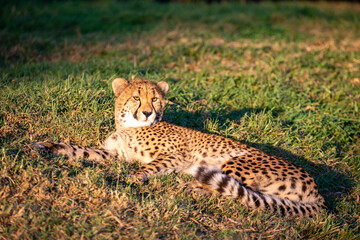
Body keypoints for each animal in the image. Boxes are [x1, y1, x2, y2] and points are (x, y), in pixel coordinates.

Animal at [34, 78, 326, 217]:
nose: (148, 113)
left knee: (233, 194)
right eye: (136, 97)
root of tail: (317, 190)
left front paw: (132, 177)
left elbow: (151, 165)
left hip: (235, 161)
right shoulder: (114, 153)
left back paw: (190, 187)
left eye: (155, 99)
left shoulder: (178, 156)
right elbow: (81, 150)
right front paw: (49, 146)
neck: (129, 126)